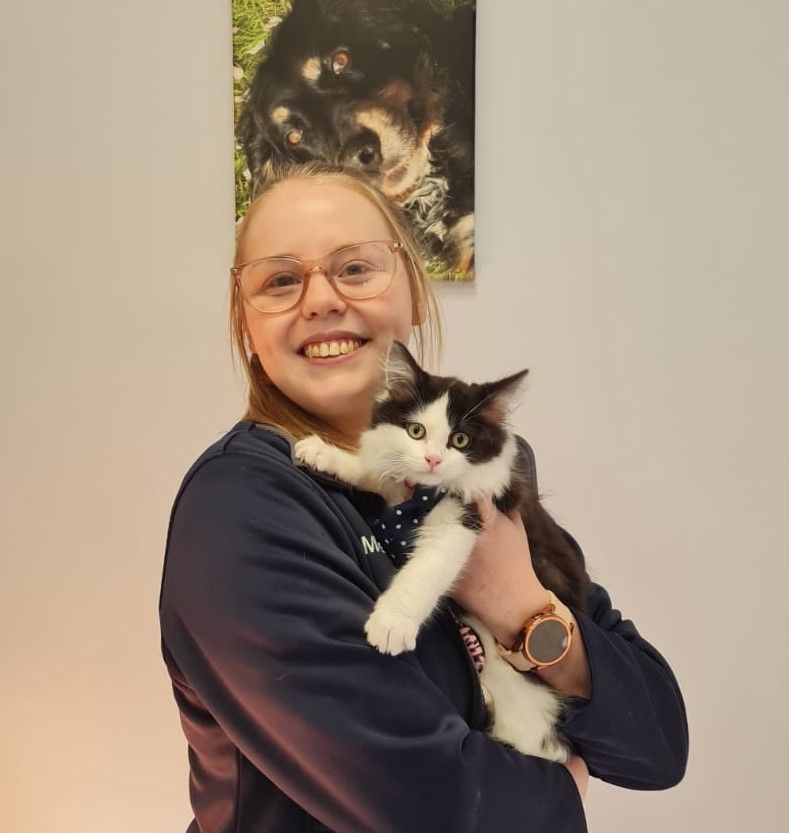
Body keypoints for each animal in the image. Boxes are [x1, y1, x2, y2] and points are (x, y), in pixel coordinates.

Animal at [292, 340, 588, 760]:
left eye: (460, 440)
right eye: (416, 431)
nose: (432, 459)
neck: (423, 493)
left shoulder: (467, 515)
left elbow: (427, 567)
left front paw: (392, 623)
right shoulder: (402, 483)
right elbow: (380, 473)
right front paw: (327, 455)